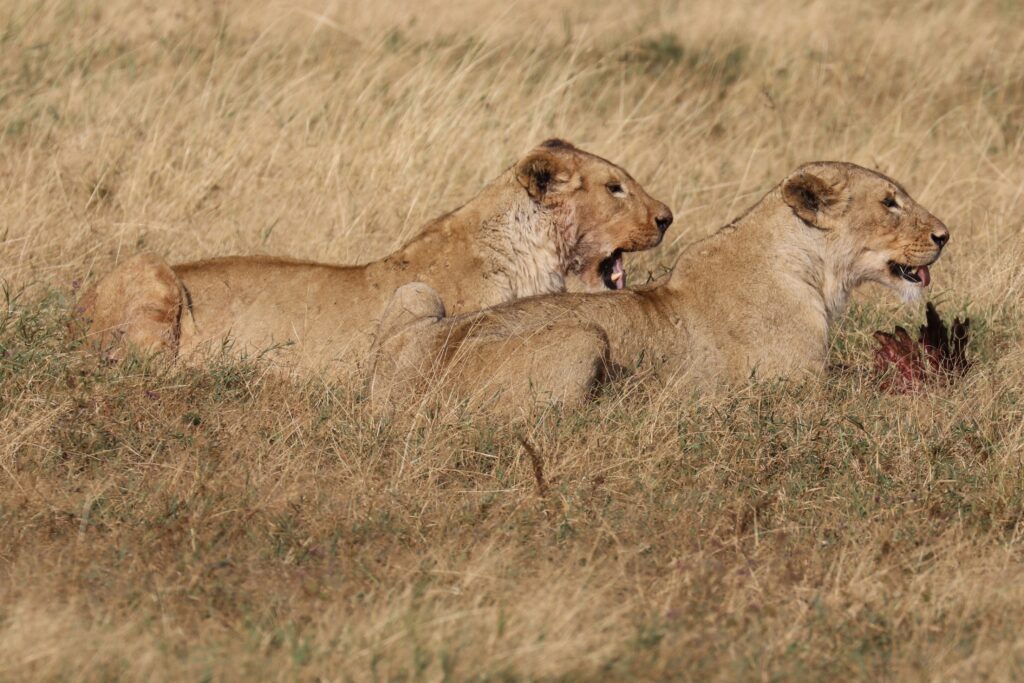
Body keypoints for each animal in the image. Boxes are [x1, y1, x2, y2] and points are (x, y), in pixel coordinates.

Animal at [370, 162, 950, 409]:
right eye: (890, 202)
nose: (945, 236)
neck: (814, 268)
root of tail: (401, 393)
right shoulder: (793, 388)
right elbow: (862, 389)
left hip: (416, 294)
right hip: (582, 335)